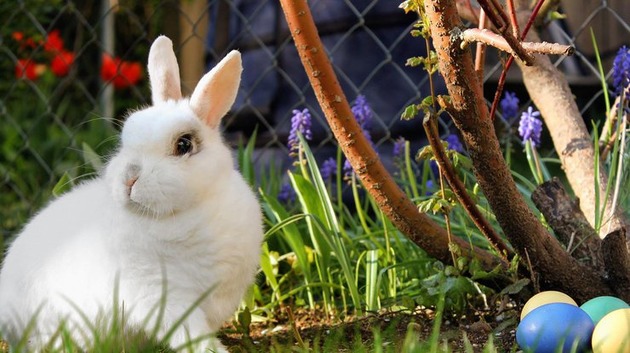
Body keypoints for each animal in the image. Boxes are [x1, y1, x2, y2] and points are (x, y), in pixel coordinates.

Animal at [0, 35, 262, 352]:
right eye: (126, 136)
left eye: (184, 145)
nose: (129, 178)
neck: (187, 213)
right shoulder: (162, 296)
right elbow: (191, 333)